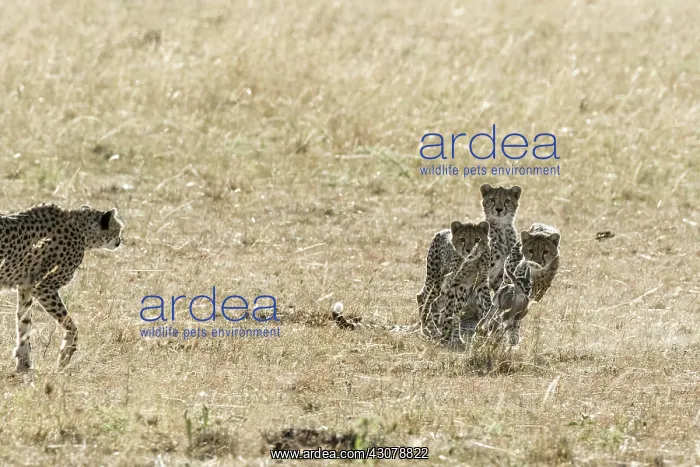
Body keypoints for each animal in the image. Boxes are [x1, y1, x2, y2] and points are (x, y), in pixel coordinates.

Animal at [0, 204, 123, 373]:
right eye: (118, 229)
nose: (120, 241)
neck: (82, 230)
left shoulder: (26, 286)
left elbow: (24, 322)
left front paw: (23, 364)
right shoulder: (43, 286)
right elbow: (72, 326)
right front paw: (64, 357)